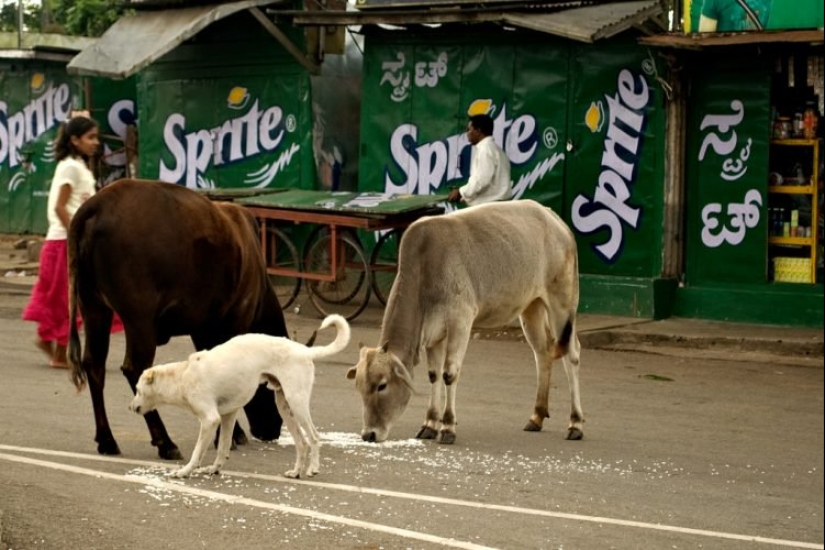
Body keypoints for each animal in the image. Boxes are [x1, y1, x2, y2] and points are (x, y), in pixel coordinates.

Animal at [67, 178, 288, 460]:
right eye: (274, 387)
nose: (273, 429)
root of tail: (96, 204)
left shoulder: (204, 329)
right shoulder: (233, 322)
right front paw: (230, 434)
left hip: (93, 307)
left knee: (94, 365)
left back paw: (107, 439)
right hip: (139, 318)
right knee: (135, 367)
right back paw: (165, 442)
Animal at [346, 199, 583, 444]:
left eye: (382, 385)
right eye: (359, 387)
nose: (369, 434)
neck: (424, 267)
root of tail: (553, 218)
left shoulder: (460, 321)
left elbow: (449, 374)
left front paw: (448, 427)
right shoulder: (433, 335)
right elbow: (434, 375)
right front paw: (429, 424)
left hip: (562, 303)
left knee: (571, 354)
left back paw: (575, 423)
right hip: (531, 308)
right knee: (543, 352)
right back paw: (536, 416)